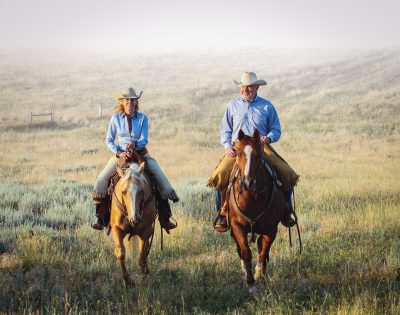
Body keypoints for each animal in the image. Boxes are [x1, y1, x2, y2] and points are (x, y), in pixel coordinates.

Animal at [227, 130, 286, 296]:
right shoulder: (237, 226)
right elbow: (246, 252)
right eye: (238, 153)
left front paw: (259, 276)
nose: (248, 182)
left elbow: (263, 252)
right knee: (240, 249)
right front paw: (251, 283)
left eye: (258, 155)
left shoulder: (271, 229)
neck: (253, 197)